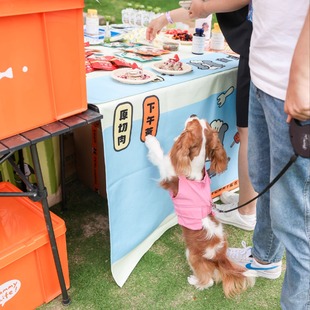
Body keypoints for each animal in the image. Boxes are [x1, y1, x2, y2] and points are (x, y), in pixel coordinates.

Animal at [144, 114, 256, 298]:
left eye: (190, 124)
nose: (192, 115)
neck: (194, 168)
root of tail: (219, 256)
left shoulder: (168, 173)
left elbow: (159, 156)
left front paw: (150, 140)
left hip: (191, 254)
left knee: (208, 280)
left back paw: (195, 281)